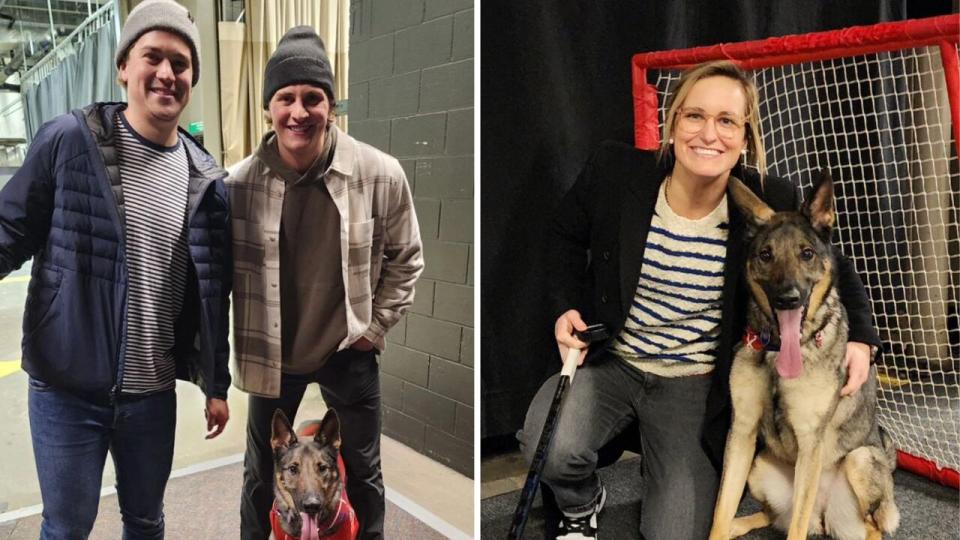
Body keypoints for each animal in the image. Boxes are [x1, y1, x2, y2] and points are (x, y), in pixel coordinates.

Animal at [704, 173, 900, 540]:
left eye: (806, 254)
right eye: (765, 255)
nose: (788, 299)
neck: (779, 351)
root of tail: (821, 521)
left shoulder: (810, 441)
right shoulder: (742, 433)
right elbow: (721, 510)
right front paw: (723, 526)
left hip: (860, 460)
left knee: (871, 527)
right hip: (759, 466)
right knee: (772, 515)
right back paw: (742, 523)